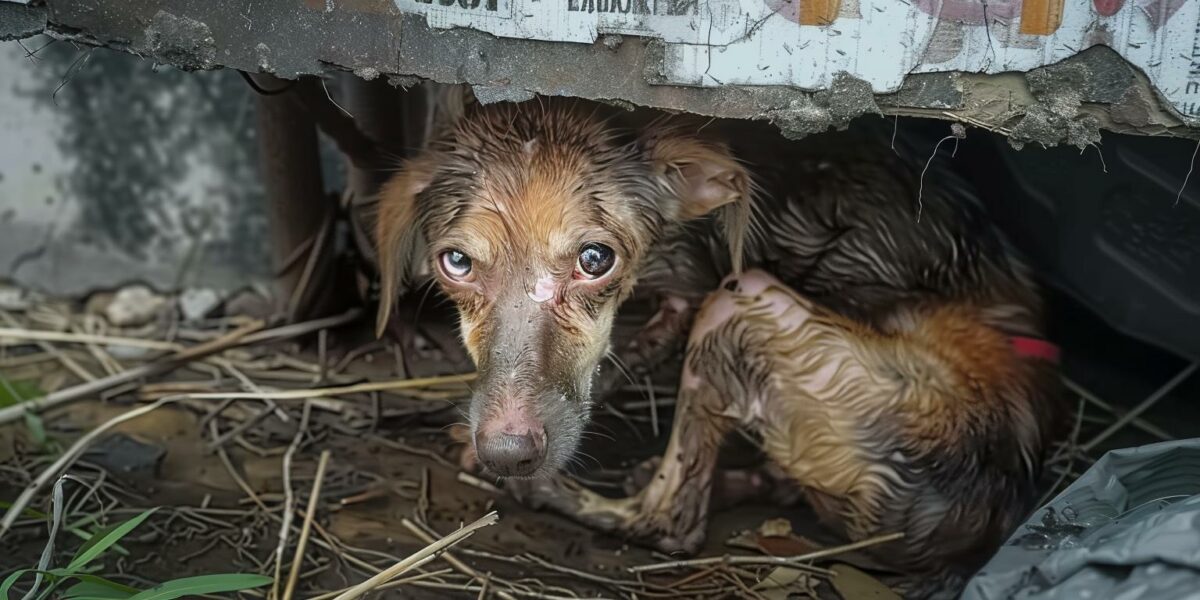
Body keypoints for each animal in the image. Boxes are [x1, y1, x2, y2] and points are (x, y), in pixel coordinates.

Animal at [372, 98, 1060, 595]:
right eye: (456, 262)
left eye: (596, 259)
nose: (508, 455)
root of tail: (997, 509)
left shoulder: (694, 290)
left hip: (742, 306)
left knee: (671, 521)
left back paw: (552, 493)